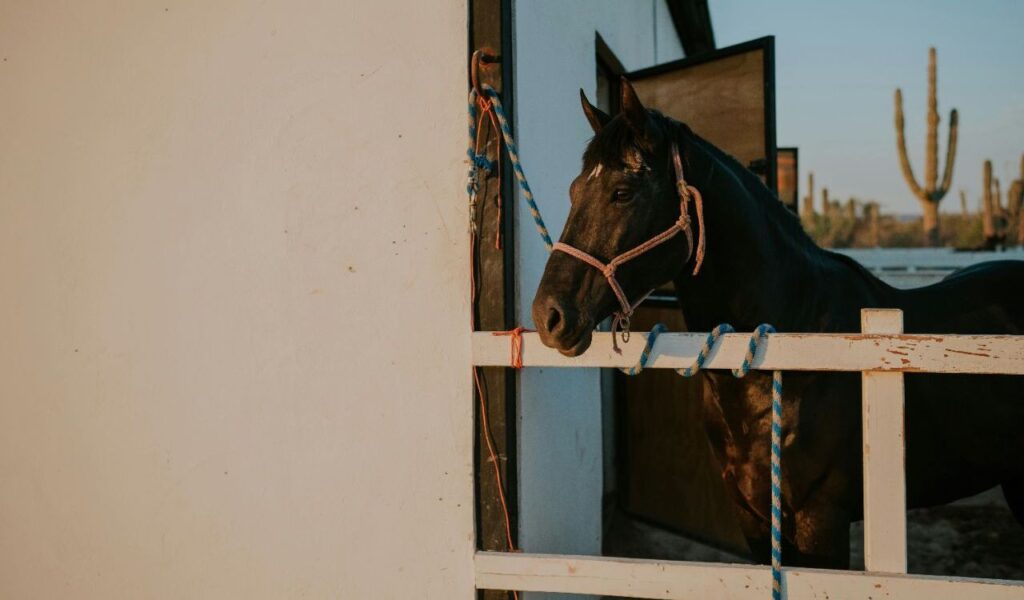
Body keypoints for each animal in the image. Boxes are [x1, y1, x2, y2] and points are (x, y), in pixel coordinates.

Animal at [531, 78, 1024, 568]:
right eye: (574, 190)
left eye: (622, 192)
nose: (548, 315)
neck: (795, 348)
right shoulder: (751, 516)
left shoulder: (820, 518)